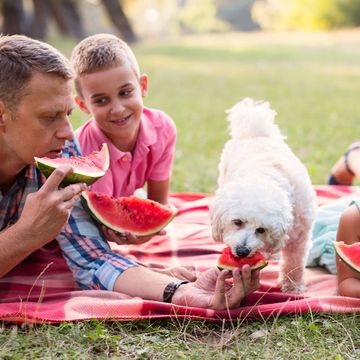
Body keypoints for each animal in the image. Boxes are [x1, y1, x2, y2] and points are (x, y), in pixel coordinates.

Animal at [211, 97, 316, 292]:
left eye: (261, 229)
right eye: (237, 222)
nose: (242, 251)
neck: (265, 174)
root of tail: (256, 133)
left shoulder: (300, 235)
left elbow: (294, 263)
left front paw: (293, 286)